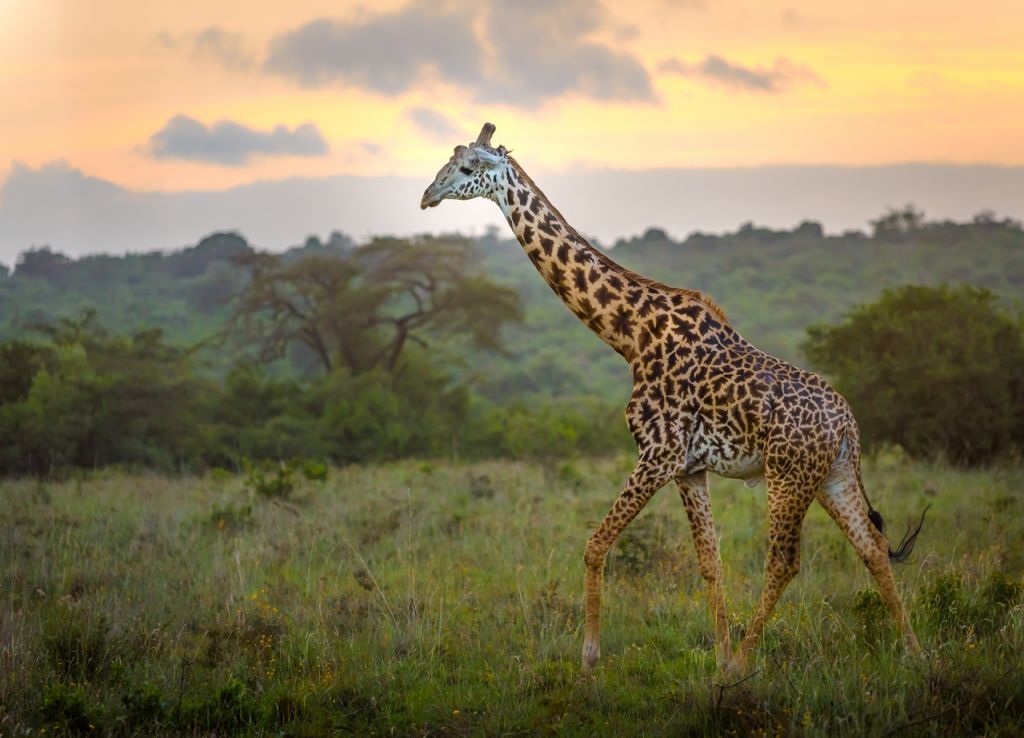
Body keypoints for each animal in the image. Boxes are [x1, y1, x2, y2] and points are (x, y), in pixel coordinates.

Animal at [419, 122, 925, 675]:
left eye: (468, 168)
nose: (427, 196)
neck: (630, 334)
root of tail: (848, 425)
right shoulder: (690, 467)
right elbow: (710, 563)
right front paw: (716, 655)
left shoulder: (658, 453)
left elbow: (595, 545)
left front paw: (590, 658)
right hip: (831, 475)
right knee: (873, 548)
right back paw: (915, 654)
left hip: (788, 476)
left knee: (785, 561)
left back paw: (744, 663)